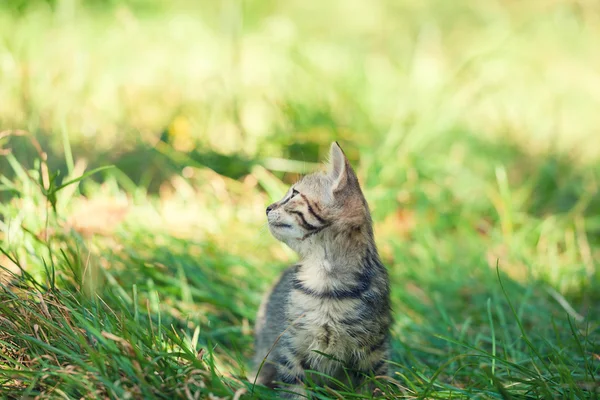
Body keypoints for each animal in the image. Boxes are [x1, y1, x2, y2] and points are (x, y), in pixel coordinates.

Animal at [251, 141, 392, 396]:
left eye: (293, 194)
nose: (267, 207)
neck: (324, 281)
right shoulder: (291, 348)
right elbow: (294, 392)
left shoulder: (374, 350)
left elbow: (379, 387)